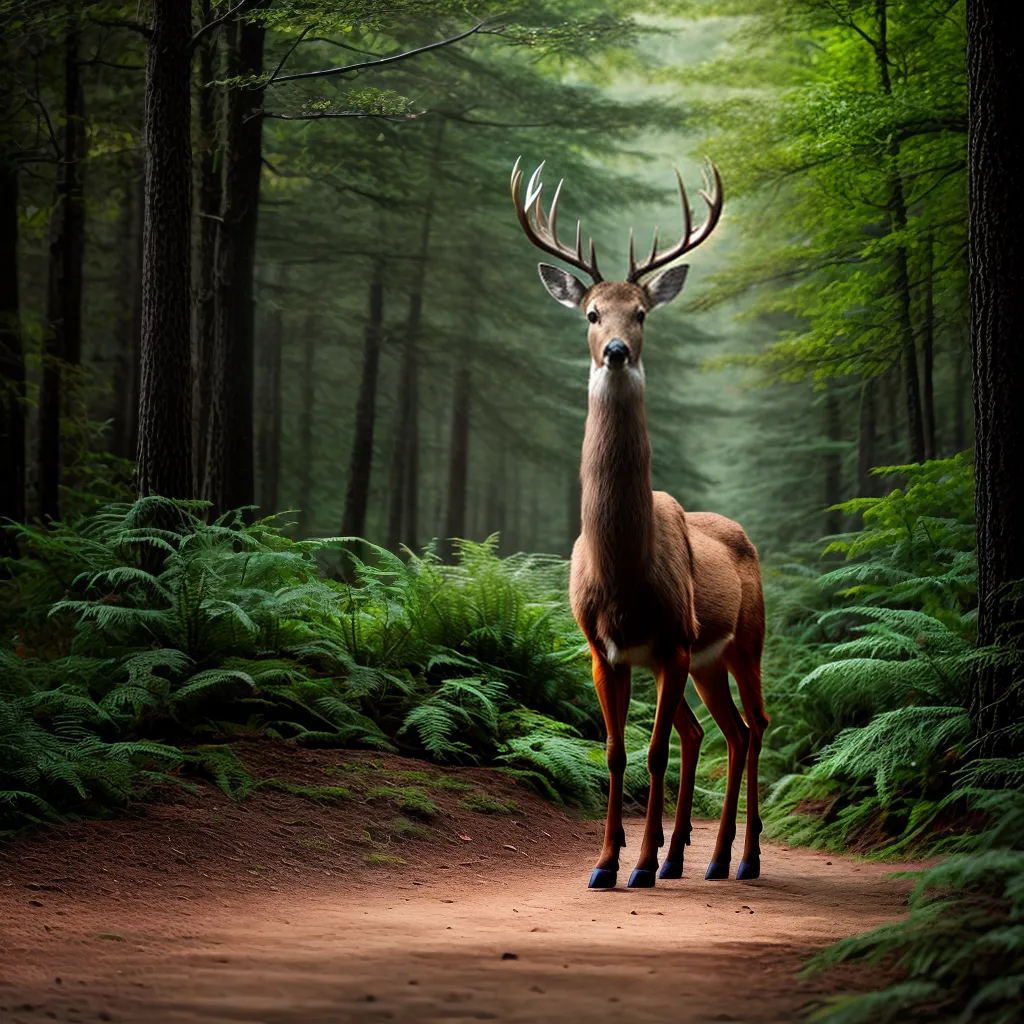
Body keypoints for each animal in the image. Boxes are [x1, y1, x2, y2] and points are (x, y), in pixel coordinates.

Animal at [510, 157, 769, 889]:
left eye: (644, 310)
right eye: (591, 312)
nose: (618, 350)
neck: (625, 572)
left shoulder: (674, 641)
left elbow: (651, 755)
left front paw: (639, 866)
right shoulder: (605, 649)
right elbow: (616, 753)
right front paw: (606, 863)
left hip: (744, 640)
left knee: (755, 725)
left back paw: (740, 857)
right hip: (699, 664)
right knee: (719, 731)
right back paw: (694, 855)